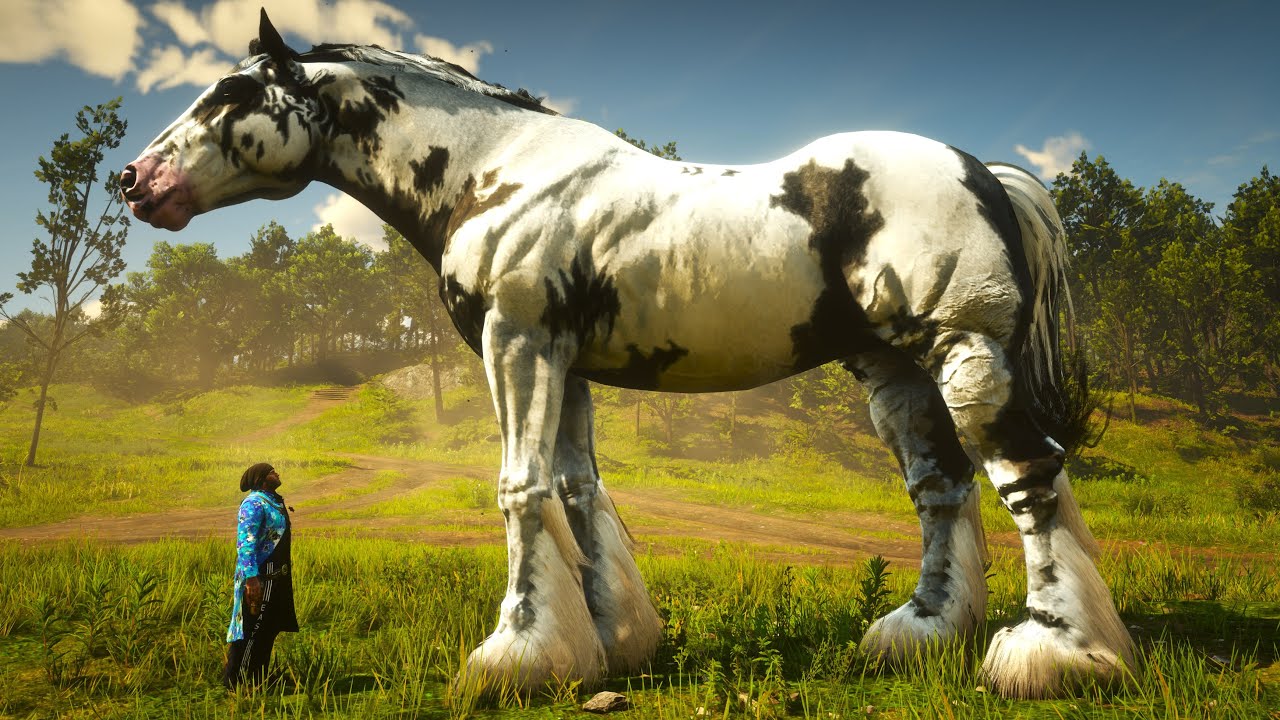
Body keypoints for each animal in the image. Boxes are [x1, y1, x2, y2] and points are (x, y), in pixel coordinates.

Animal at [122, 10, 1134, 699]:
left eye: (231, 95)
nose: (135, 181)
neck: (496, 172)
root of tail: (983, 172)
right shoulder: (563, 363)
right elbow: (575, 492)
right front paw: (604, 645)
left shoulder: (517, 341)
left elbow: (520, 489)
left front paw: (514, 657)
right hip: (895, 370)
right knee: (942, 488)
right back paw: (921, 633)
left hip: (965, 351)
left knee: (1027, 476)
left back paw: (1055, 654)